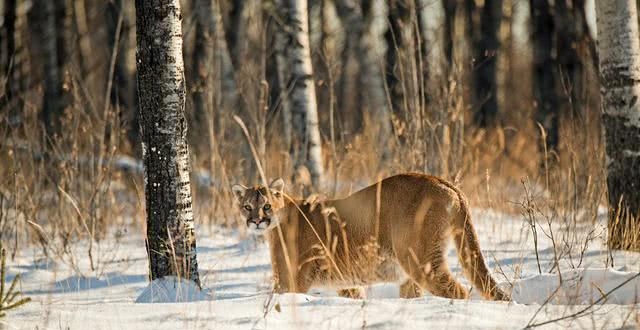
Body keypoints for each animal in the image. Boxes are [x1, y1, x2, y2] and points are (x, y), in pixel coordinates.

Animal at [232, 174, 508, 300]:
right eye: (247, 206)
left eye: (267, 206)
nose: (256, 221)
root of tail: (443, 181)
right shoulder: (346, 282)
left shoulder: (291, 282)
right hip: (409, 274)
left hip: (422, 261)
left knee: (458, 291)